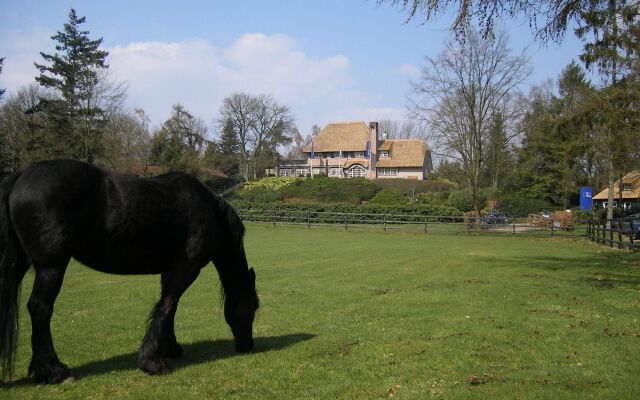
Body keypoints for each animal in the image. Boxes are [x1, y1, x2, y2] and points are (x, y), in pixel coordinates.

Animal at [0, 159, 260, 384]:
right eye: (254, 306)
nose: (247, 346)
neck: (209, 211)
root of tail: (21, 176)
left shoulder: (169, 269)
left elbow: (169, 308)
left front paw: (169, 348)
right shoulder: (186, 268)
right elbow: (167, 306)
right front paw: (152, 362)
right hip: (51, 267)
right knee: (40, 309)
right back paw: (55, 371)